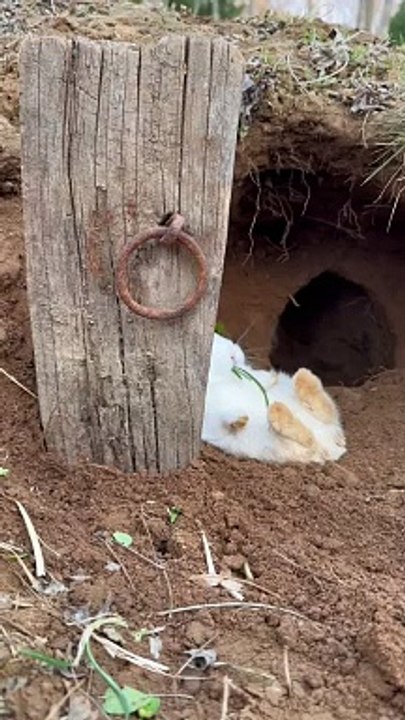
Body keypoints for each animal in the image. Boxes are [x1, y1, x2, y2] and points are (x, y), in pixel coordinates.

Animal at [202, 332, 346, 464]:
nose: (233, 355)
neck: (220, 377)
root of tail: (333, 447)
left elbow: (264, 380)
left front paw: (271, 380)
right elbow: (227, 418)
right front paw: (241, 419)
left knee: (326, 413)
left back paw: (304, 378)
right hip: (277, 442)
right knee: (309, 438)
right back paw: (279, 411)